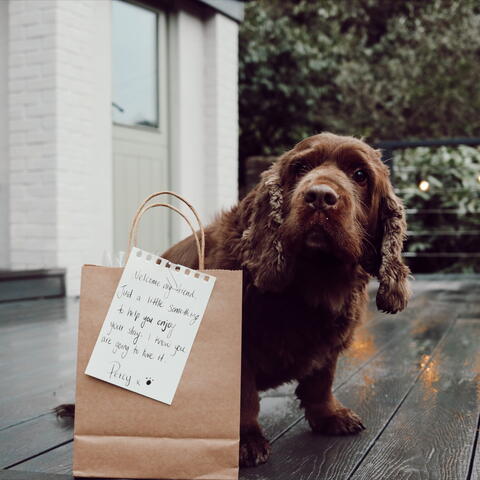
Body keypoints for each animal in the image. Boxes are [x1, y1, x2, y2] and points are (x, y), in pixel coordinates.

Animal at [161, 131, 408, 464]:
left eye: (360, 175)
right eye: (300, 168)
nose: (320, 197)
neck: (314, 277)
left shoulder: (330, 342)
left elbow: (321, 381)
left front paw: (329, 415)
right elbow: (244, 397)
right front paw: (245, 441)